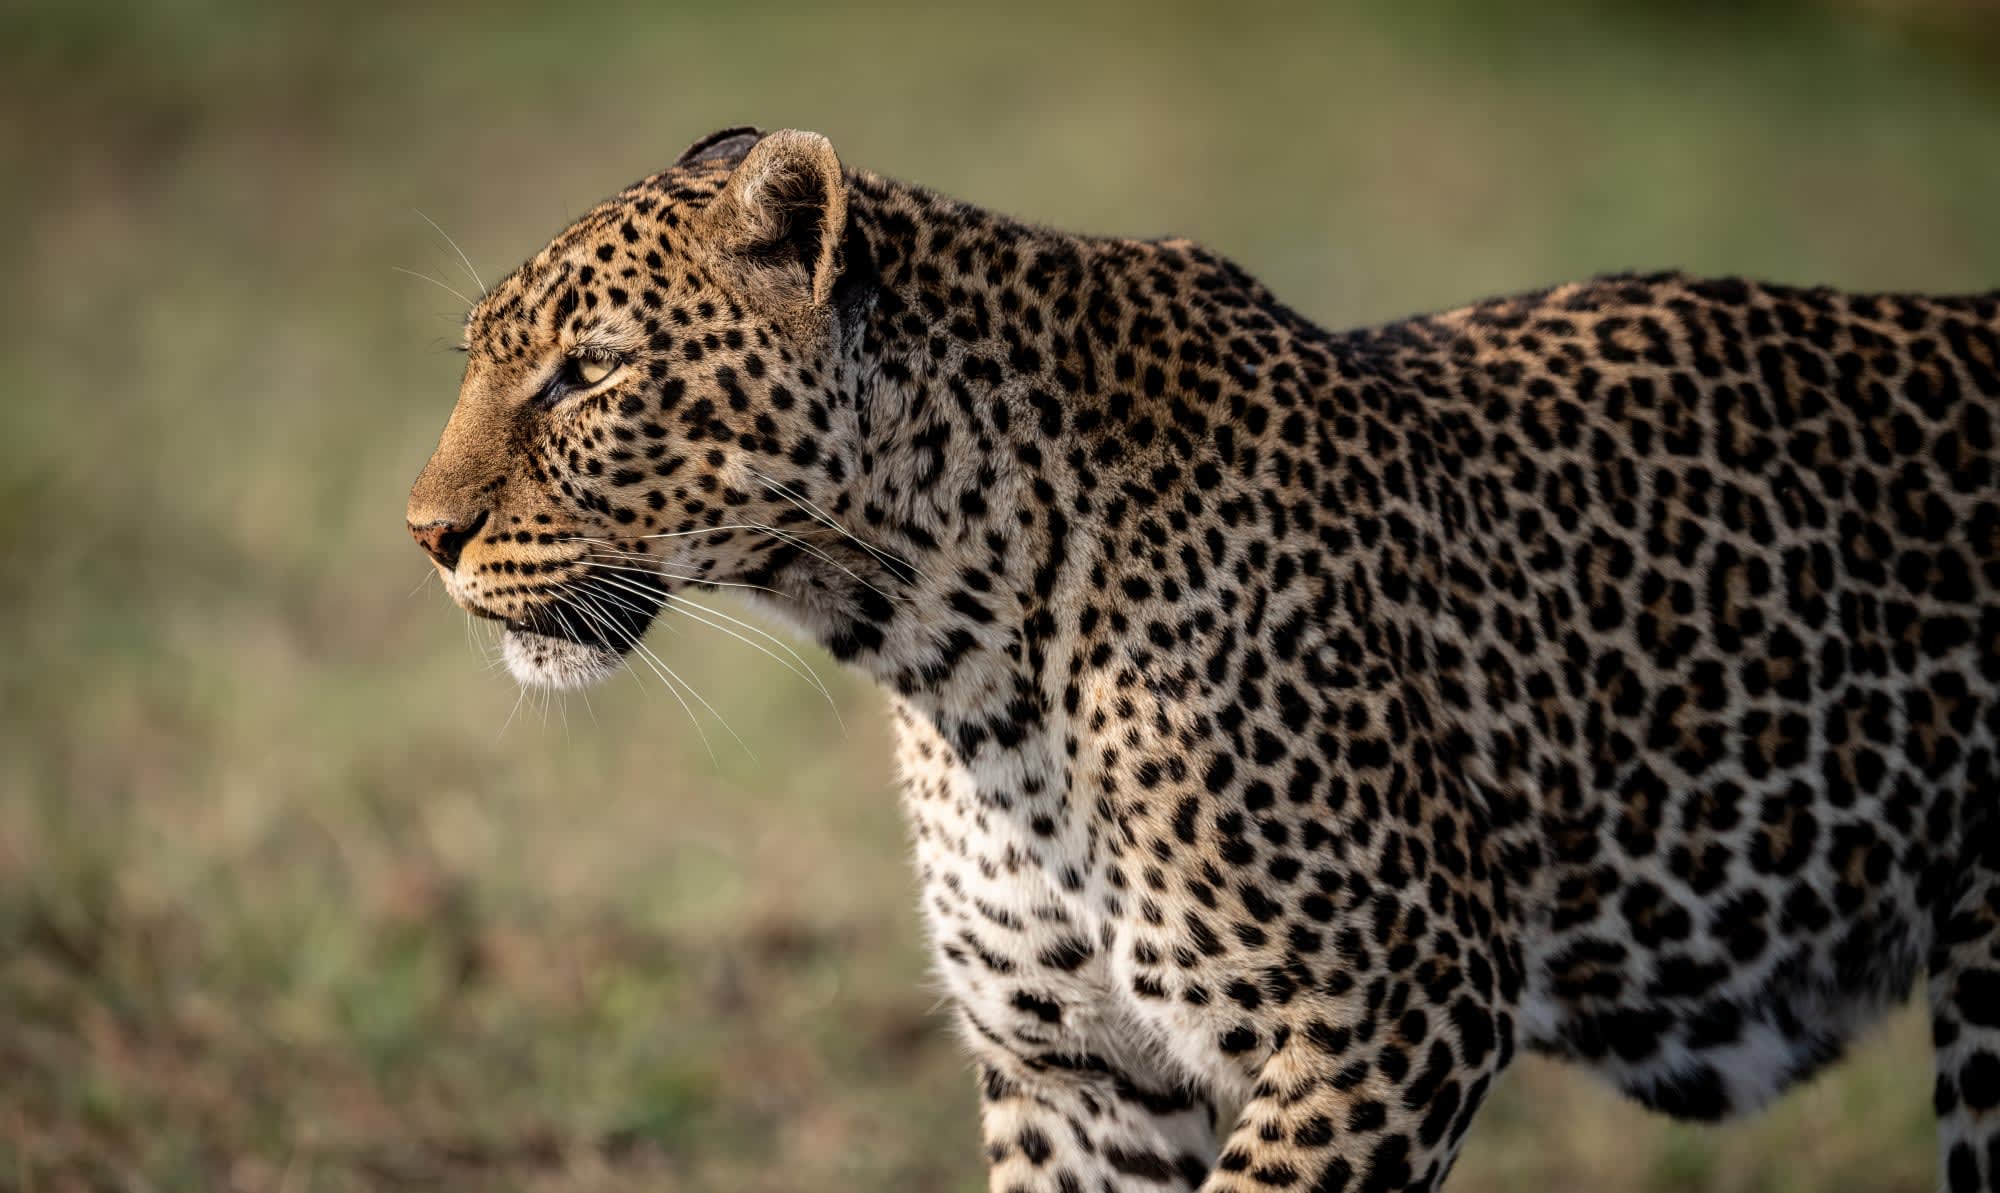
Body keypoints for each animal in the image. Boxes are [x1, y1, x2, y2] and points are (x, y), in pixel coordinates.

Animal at [406, 126, 2000, 1191]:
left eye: (590, 373)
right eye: (483, 355)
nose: (424, 532)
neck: (948, 637)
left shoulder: (1395, 1007)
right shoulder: (1071, 1068)